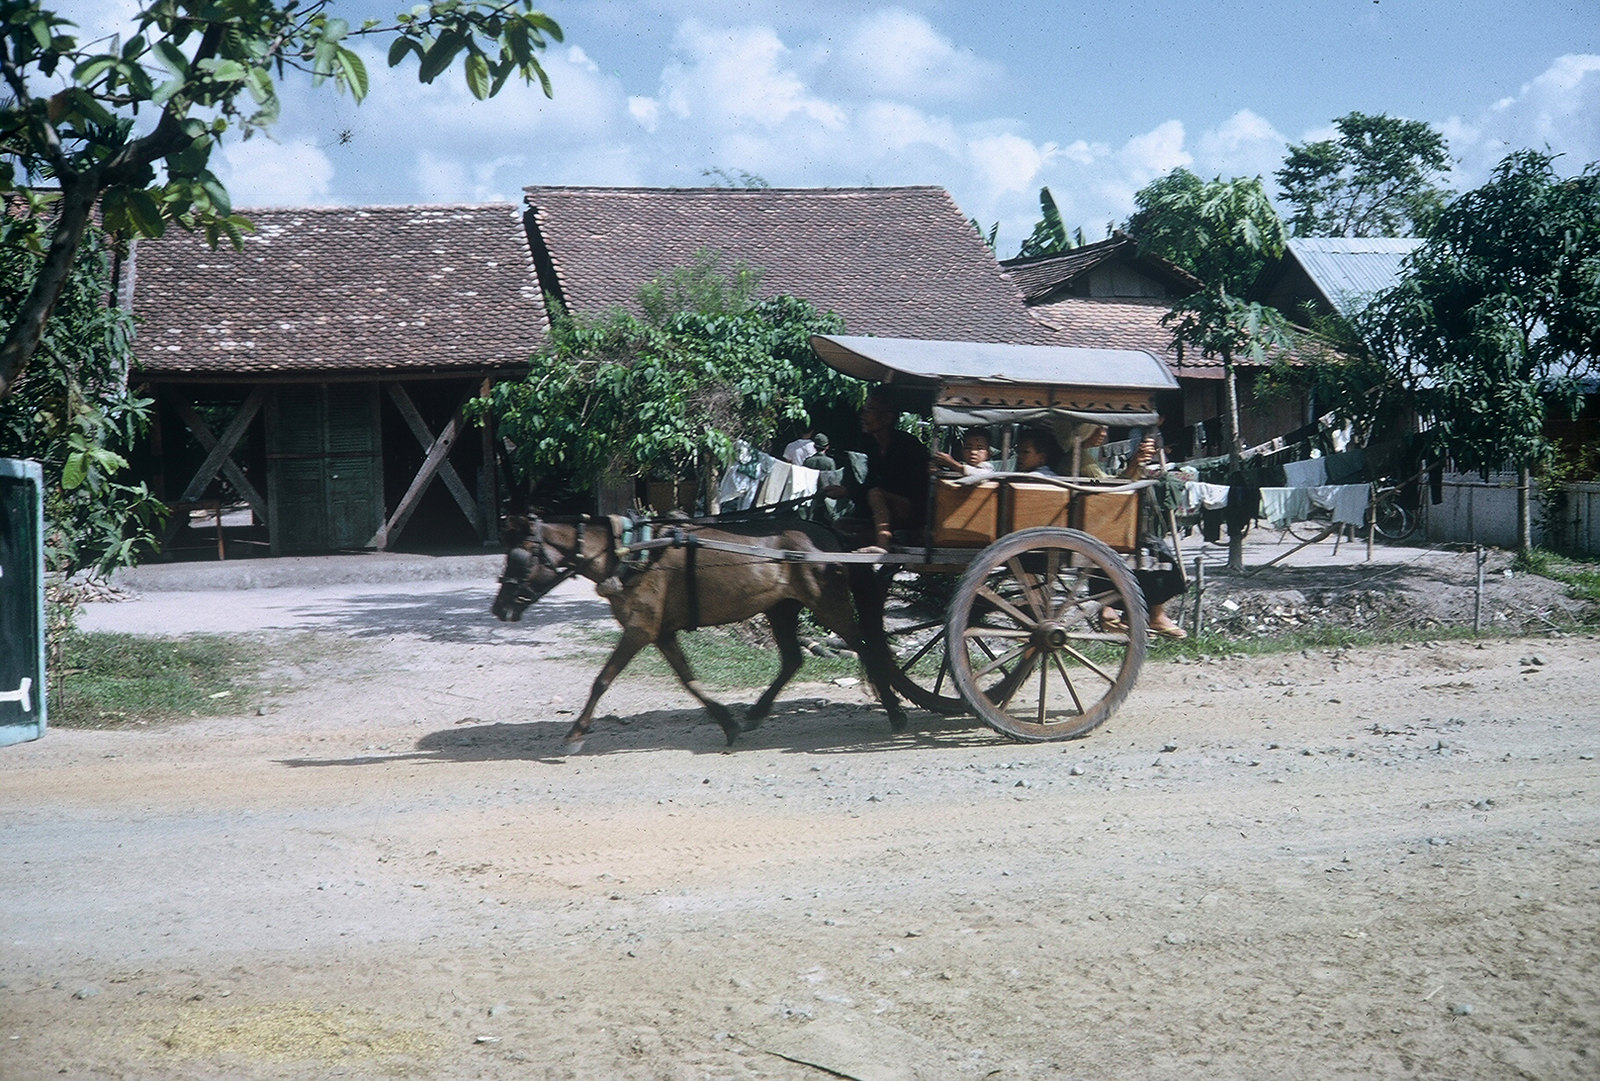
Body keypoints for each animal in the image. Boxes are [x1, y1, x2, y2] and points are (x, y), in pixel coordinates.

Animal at [492, 514, 908, 751]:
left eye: (520, 557)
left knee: (867, 648)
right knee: (792, 659)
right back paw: (756, 712)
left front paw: (576, 734)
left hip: (827, 603)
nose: (499, 609)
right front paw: (728, 723)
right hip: (782, 608)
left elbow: (602, 680)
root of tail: (829, 535)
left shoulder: (640, 629)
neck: (630, 553)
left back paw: (894, 713)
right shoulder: (660, 633)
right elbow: (689, 680)